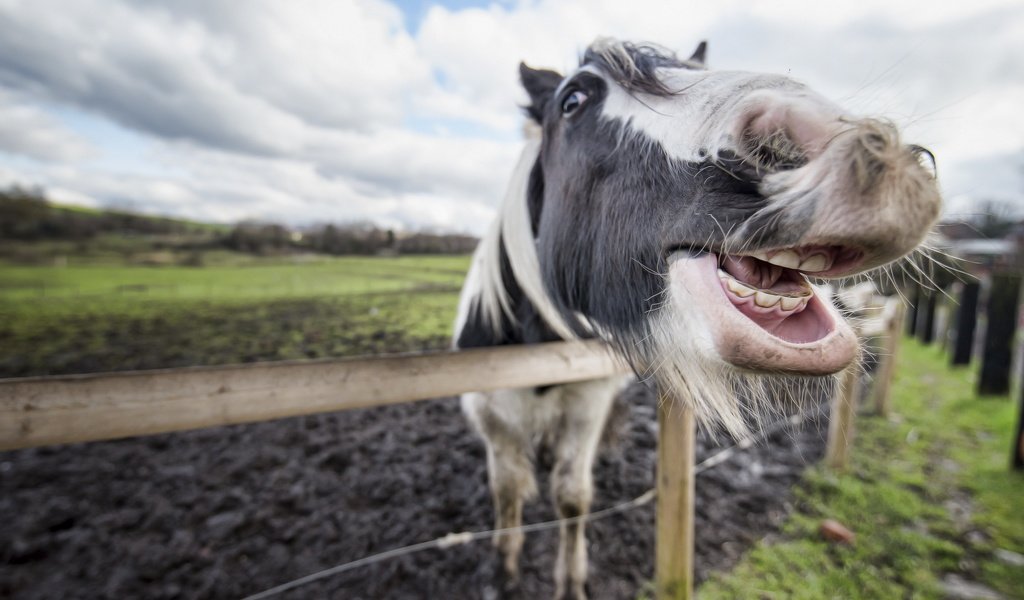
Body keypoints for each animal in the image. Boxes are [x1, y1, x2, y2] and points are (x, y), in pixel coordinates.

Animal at [452, 39, 937, 593]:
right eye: (571, 100)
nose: (843, 143)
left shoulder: (586, 407)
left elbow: (571, 498)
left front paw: (570, 581)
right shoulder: (491, 416)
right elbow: (508, 490)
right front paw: (504, 568)